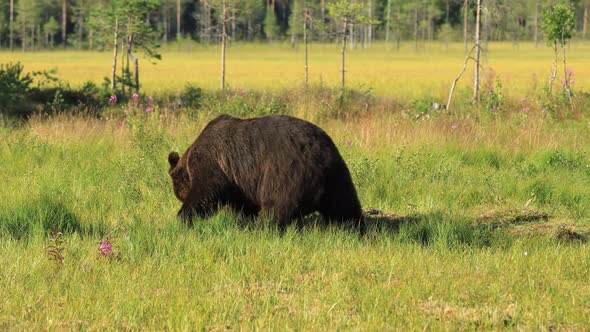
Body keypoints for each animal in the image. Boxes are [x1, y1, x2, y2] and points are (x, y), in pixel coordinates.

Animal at [168, 115, 366, 232]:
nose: (179, 195)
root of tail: (320, 158)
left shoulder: (214, 162)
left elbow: (205, 192)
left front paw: (184, 217)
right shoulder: (239, 180)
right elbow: (242, 205)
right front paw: (242, 220)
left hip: (285, 171)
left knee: (276, 205)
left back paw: (262, 228)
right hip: (337, 174)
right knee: (345, 205)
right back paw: (354, 227)